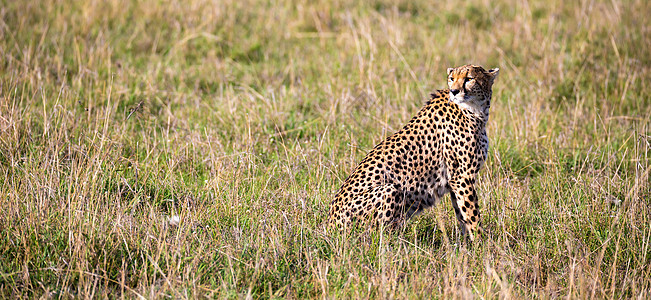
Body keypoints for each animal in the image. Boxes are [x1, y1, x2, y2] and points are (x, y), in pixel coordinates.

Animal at [328, 63, 502, 241]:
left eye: (469, 78)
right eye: (452, 78)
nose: (454, 91)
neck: (476, 110)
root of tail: (329, 227)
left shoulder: (455, 179)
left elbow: (463, 215)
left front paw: (467, 244)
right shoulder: (462, 177)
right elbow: (472, 215)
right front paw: (482, 243)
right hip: (389, 190)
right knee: (379, 237)